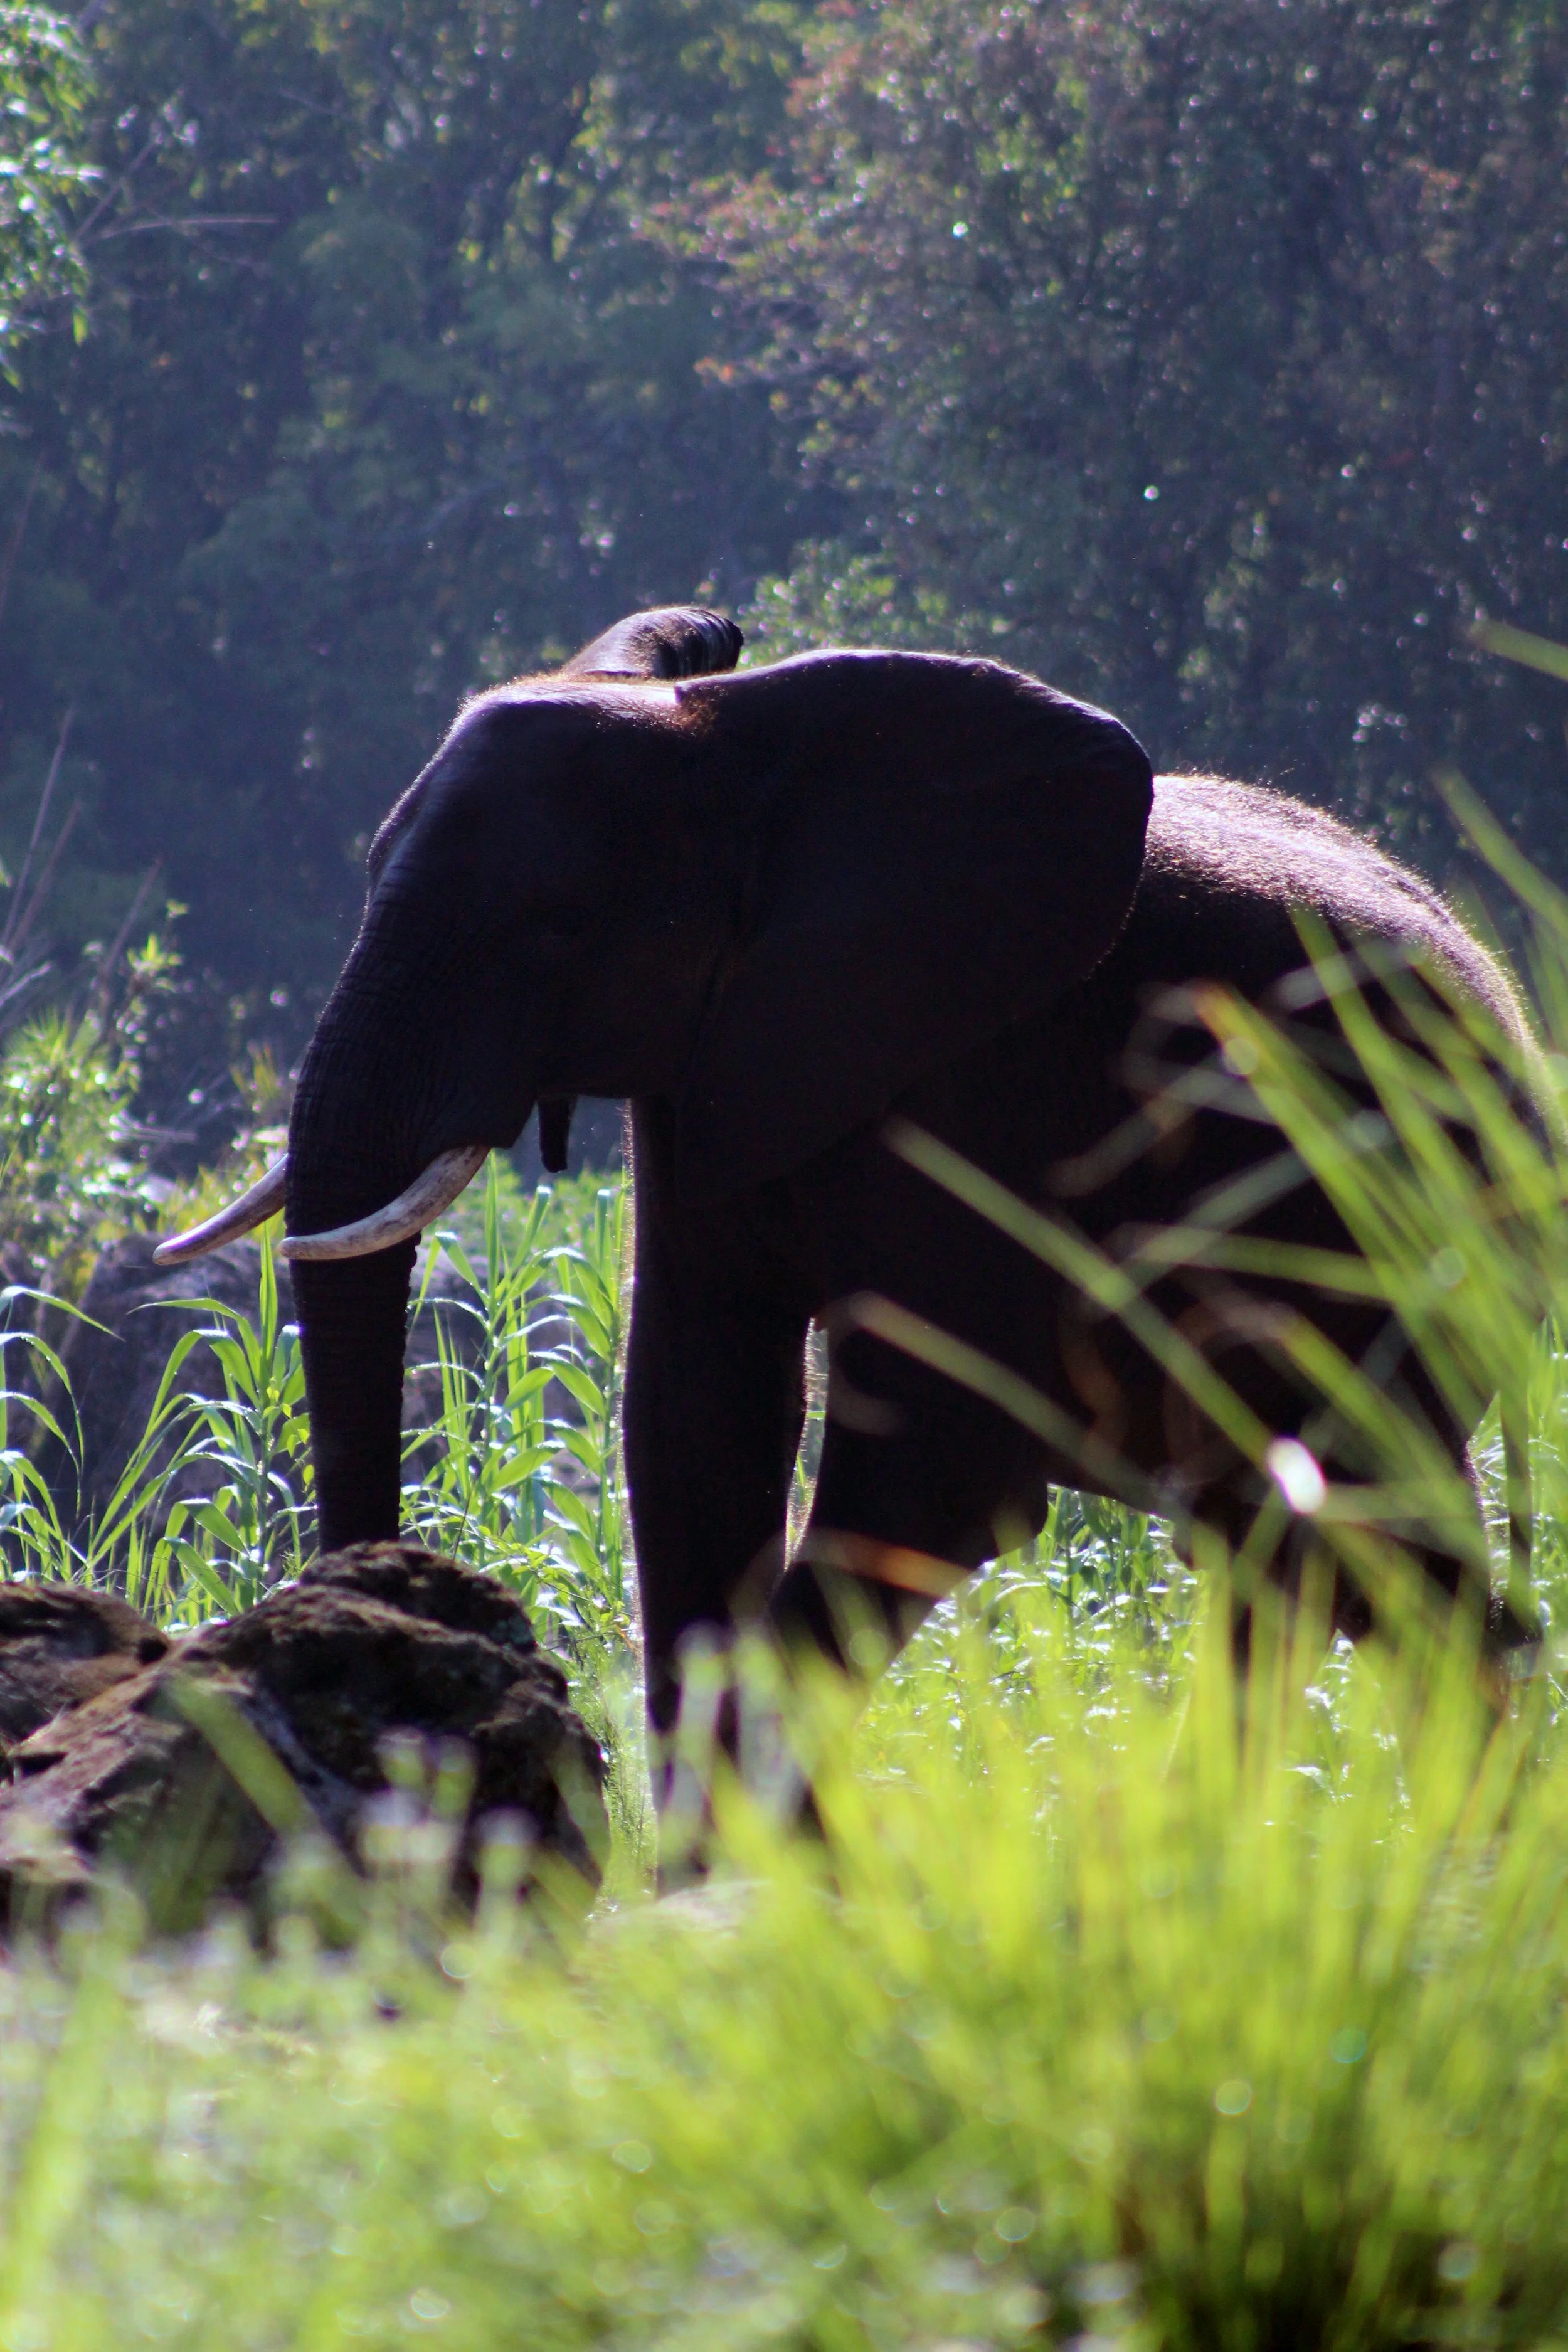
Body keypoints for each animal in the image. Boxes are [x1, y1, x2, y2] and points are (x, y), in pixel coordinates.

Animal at [158, 602, 1539, 1765]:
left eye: (553, 925)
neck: (733, 746)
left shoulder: (975, 1074)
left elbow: (936, 1465)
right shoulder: (711, 1058)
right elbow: (696, 1423)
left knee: (1370, 1541)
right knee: (1303, 1558)